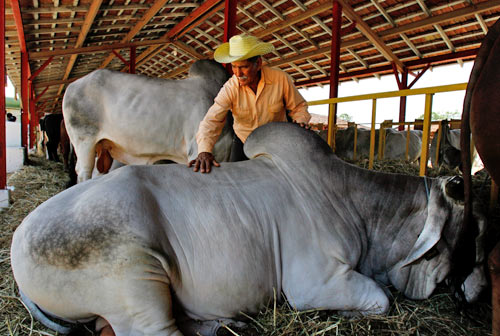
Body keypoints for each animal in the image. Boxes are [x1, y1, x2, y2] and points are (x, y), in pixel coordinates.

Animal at [9, 122, 486, 336]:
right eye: (474, 230)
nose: (473, 293)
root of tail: (16, 242)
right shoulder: (312, 282)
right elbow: (381, 299)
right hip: (135, 279)